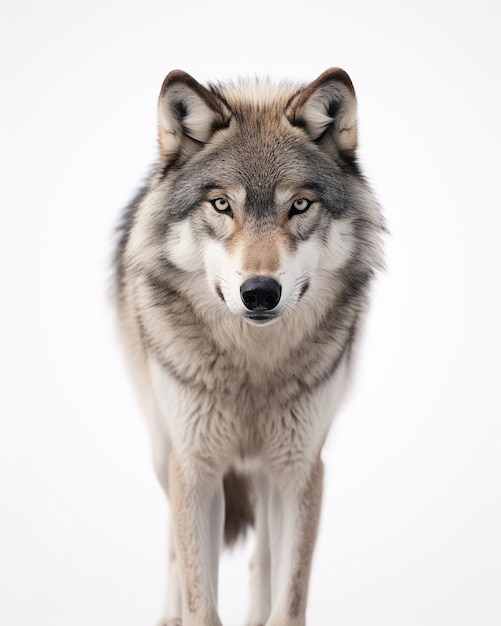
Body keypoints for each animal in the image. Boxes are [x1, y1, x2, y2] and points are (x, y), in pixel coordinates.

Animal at [115, 68, 384, 624]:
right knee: (174, 546)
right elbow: (200, 595)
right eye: (222, 204)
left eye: (299, 205)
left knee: (262, 558)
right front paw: (187, 609)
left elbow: (288, 596)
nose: (260, 292)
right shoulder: (195, 467)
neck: (251, 369)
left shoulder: (300, 468)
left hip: (265, 473)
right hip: (163, 447)